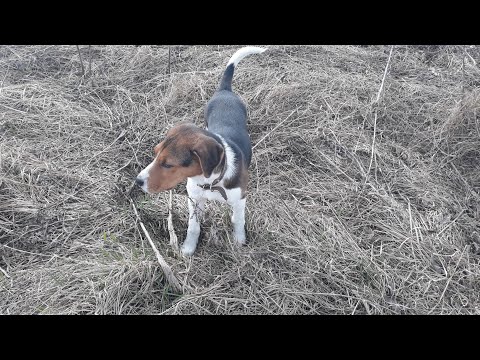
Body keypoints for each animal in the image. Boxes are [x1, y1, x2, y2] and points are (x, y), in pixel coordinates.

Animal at [136, 46, 266, 256]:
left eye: (168, 164)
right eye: (155, 153)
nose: (137, 181)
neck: (210, 182)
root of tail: (224, 90)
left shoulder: (240, 199)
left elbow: (238, 220)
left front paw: (239, 241)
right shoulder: (194, 199)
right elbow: (193, 227)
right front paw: (188, 248)